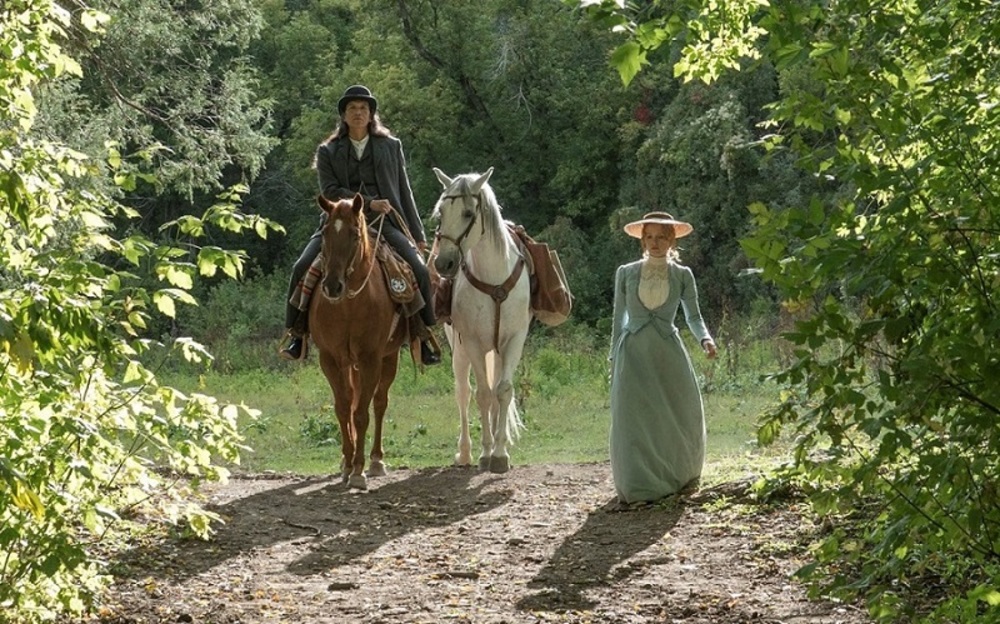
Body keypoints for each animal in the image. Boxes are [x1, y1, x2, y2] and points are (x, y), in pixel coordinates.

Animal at [310, 193, 408, 490]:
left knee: (379, 403)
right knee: (353, 399)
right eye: (325, 232)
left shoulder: (370, 359)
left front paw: (358, 471)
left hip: (388, 358)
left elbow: (362, 413)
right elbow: (344, 409)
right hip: (348, 364)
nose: (332, 286)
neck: (349, 304)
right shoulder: (330, 359)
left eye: (354, 234)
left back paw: (376, 461)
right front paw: (347, 463)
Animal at [434, 166, 536, 472]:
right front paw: (485, 452)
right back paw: (465, 452)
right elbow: (482, 394)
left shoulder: (514, 340)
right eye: (441, 212)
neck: (494, 279)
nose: (443, 264)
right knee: (464, 392)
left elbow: (502, 391)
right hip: (459, 350)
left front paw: (500, 454)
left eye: (469, 213)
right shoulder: (472, 342)